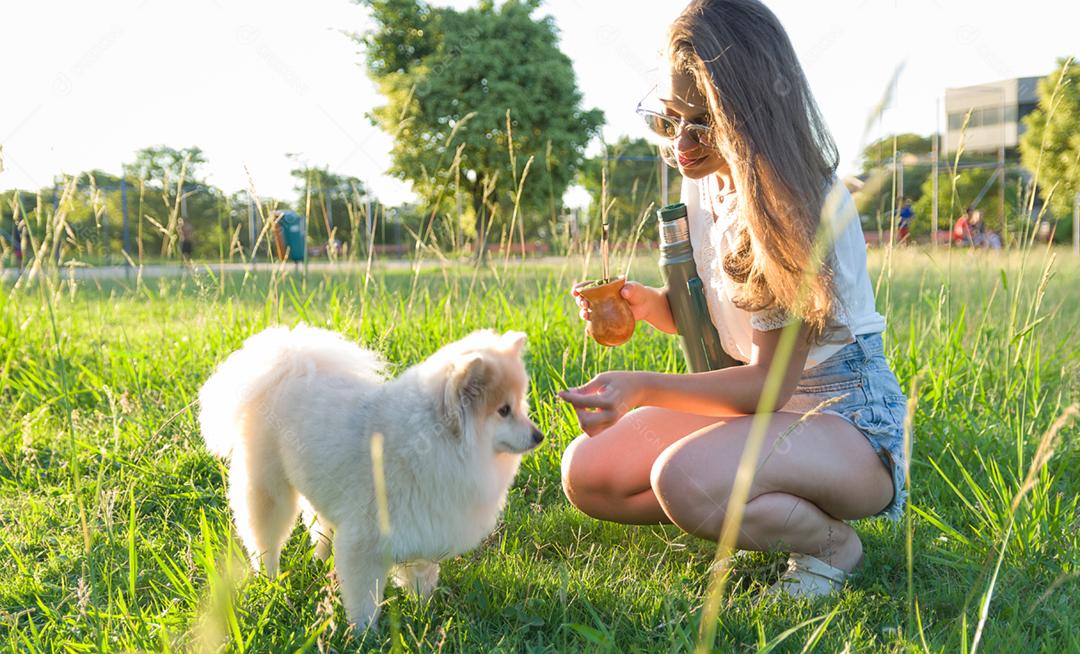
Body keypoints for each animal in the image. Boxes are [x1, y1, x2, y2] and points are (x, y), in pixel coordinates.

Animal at [196, 325, 540, 630]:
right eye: (504, 410)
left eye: (521, 406)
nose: (539, 435)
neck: (436, 440)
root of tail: (288, 361)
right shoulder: (365, 540)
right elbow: (364, 596)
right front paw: (365, 633)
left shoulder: (424, 528)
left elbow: (421, 577)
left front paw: (423, 614)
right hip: (269, 488)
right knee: (265, 540)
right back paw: (271, 582)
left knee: (320, 527)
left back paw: (319, 562)